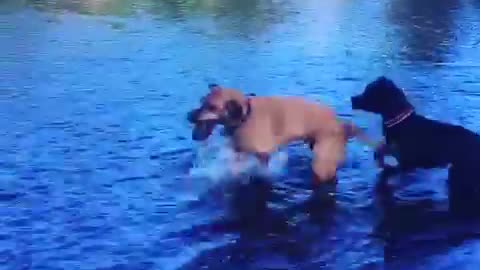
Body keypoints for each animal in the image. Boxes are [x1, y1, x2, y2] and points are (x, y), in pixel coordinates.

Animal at [188, 84, 376, 186]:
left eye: (212, 107)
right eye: (201, 101)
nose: (188, 116)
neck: (245, 116)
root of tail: (342, 125)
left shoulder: (263, 154)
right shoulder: (239, 152)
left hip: (322, 164)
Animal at [350, 76, 480, 217]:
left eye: (369, 91)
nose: (352, 98)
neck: (402, 122)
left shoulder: (408, 163)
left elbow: (389, 168)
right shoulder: (396, 152)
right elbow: (381, 150)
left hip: (461, 172)